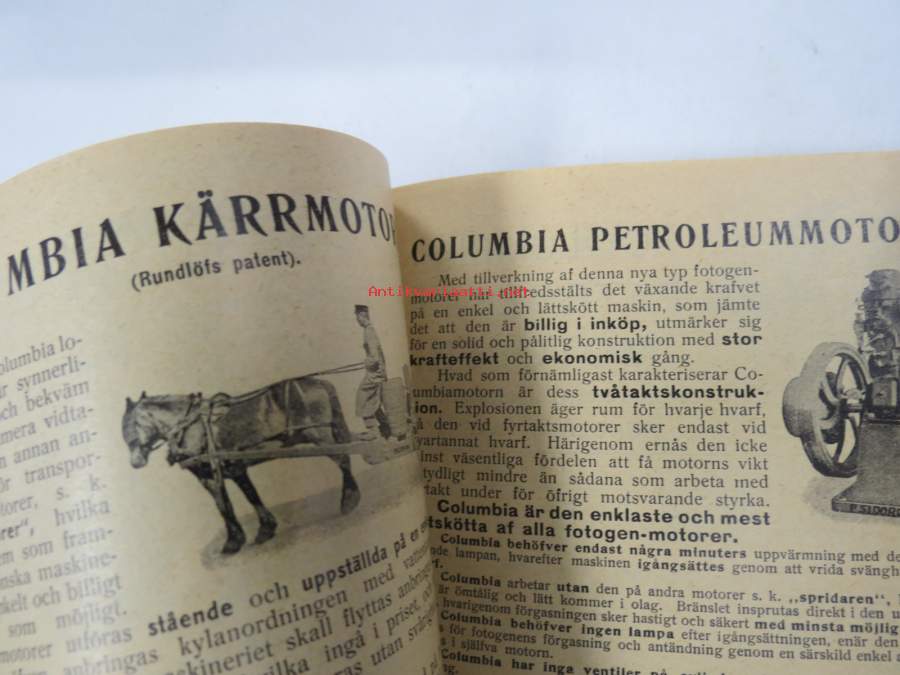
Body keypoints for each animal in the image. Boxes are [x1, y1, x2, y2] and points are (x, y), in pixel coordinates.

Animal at [121, 377, 361, 555]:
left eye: (130, 425)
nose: (135, 463)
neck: (191, 427)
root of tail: (320, 382)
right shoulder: (235, 469)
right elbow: (249, 495)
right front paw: (265, 529)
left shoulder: (208, 475)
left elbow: (223, 505)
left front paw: (232, 542)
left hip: (320, 435)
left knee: (343, 459)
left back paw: (349, 500)